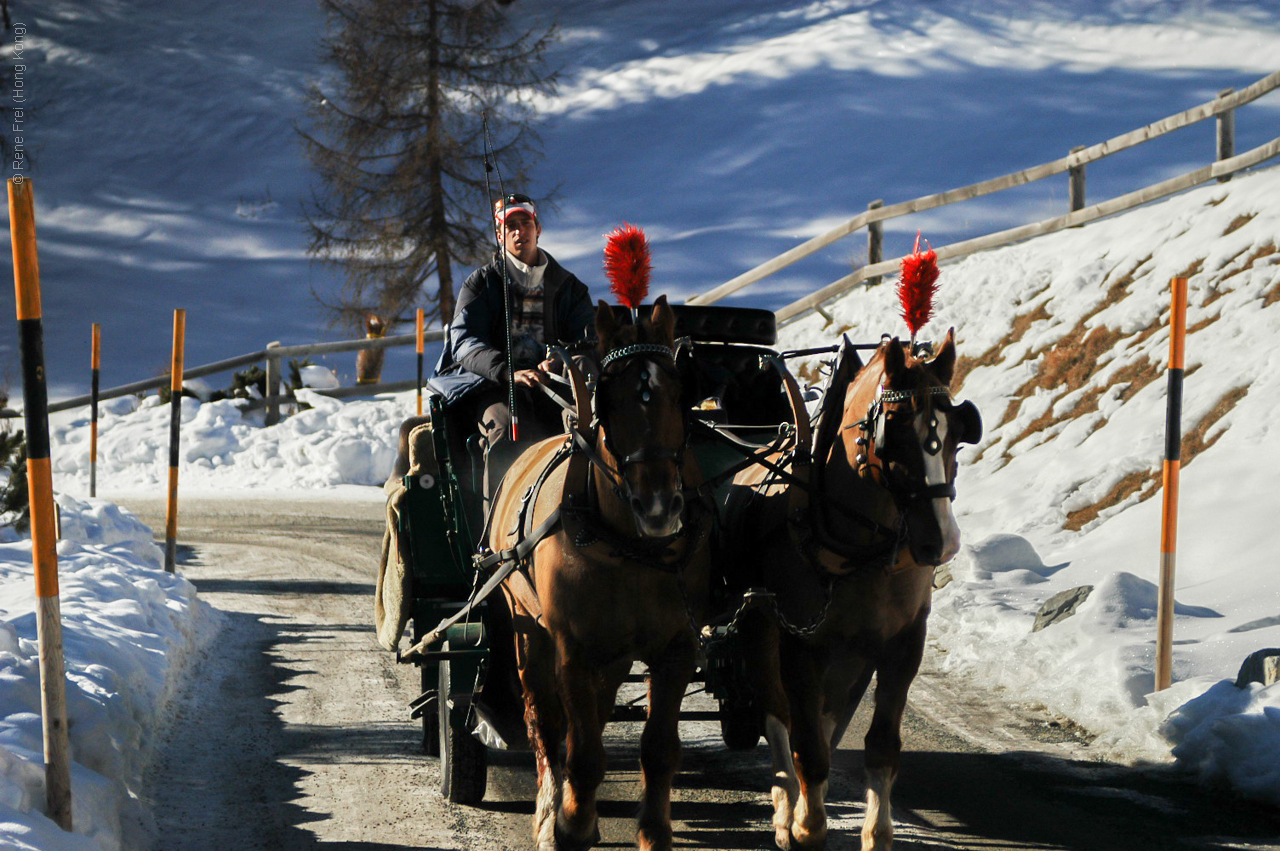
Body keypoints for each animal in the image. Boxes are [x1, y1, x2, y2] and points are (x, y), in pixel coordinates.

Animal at [486, 295, 711, 844]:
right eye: (609, 398)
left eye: (680, 393)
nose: (659, 507)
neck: (630, 547)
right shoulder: (574, 651)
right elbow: (584, 753)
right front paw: (568, 825)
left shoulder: (677, 649)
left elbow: (659, 748)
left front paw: (653, 832)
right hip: (527, 628)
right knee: (546, 722)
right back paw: (551, 809)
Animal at [727, 330, 983, 849]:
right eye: (895, 431)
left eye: (957, 432)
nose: (941, 541)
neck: (862, 548)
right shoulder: (801, 644)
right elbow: (806, 743)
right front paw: (807, 825)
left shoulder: (902, 644)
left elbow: (880, 745)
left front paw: (876, 832)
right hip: (761, 632)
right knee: (777, 717)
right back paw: (786, 811)